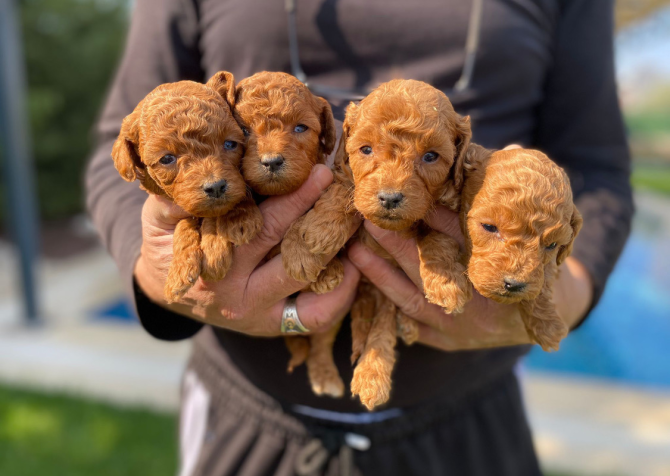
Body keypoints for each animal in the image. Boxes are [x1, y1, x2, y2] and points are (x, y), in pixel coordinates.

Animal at [113, 71, 262, 302]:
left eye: (230, 144)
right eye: (167, 159)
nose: (215, 187)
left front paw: (233, 224)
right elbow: (186, 222)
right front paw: (179, 271)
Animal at [234, 71, 346, 398]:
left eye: (300, 128)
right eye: (243, 130)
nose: (271, 161)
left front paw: (309, 258)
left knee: (322, 340)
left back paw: (325, 376)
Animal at [280, 78, 476, 410]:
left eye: (431, 156)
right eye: (366, 150)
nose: (389, 198)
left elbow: (438, 238)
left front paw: (446, 283)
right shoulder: (345, 175)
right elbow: (343, 192)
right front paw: (318, 232)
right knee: (321, 337)